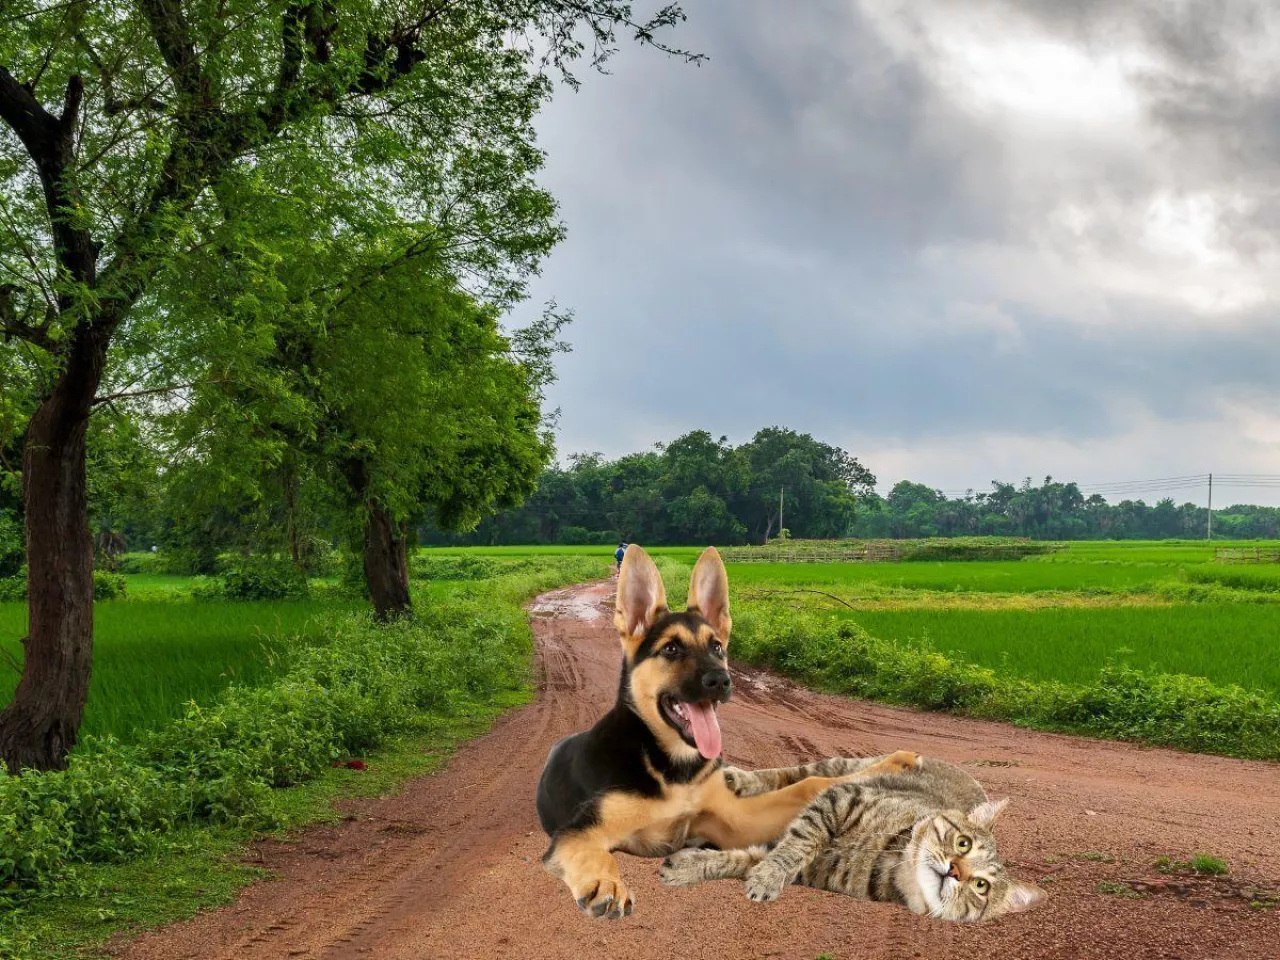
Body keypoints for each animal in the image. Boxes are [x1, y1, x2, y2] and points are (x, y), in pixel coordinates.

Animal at [532, 545, 921, 921]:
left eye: (717, 646)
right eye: (671, 648)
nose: (721, 680)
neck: (672, 768)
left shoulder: (735, 821)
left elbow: (809, 784)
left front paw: (893, 763)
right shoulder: (579, 832)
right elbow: (593, 854)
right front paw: (606, 884)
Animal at [665, 757, 1044, 921]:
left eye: (981, 886)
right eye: (962, 843)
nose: (954, 870)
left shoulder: (810, 869)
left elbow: (741, 859)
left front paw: (689, 867)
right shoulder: (844, 798)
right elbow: (800, 842)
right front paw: (769, 876)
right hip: (842, 767)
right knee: (796, 773)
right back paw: (740, 779)